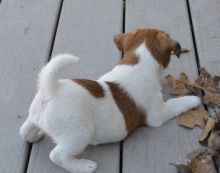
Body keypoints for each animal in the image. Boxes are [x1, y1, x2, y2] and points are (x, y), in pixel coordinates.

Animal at [19, 28, 200, 173]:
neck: (138, 63)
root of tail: (52, 89)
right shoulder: (158, 114)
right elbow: (176, 104)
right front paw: (193, 99)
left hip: (34, 117)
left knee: (25, 131)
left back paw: (37, 135)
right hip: (79, 135)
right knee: (57, 155)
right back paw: (84, 166)